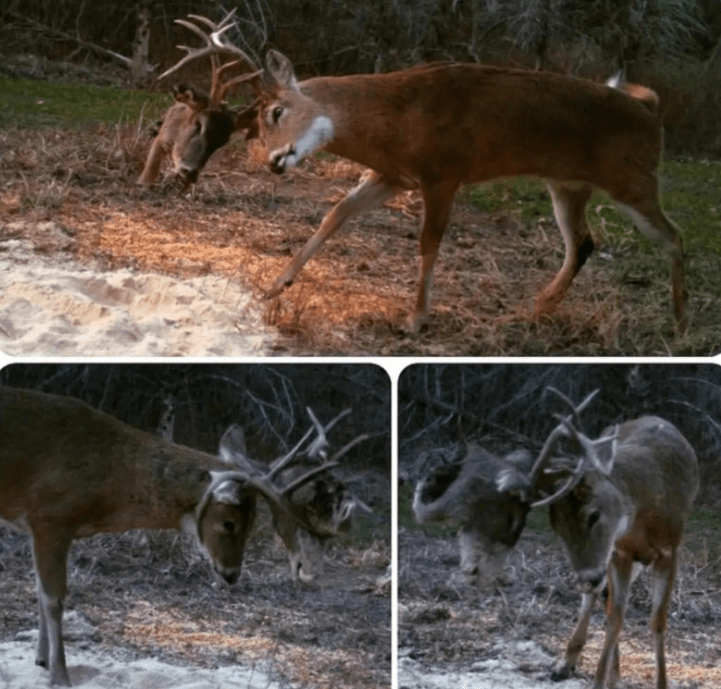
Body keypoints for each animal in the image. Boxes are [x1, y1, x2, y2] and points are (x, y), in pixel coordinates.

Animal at [0, 384, 346, 684]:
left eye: (253, 525)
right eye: (229, 523)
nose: (232, 574)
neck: (105, 478)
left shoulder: (41, 527)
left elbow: (39, 590)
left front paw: (42, 660)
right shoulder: (50, 517)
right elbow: (53, 599)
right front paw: (60, 675)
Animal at [158, 10, 688, 334]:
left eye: (276, 112)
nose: (274, 161)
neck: (395, 117)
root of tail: (652, 112)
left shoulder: (442, 174)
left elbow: (427, 244)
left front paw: (414, 320)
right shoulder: (392, 175)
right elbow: (334, 215)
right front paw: (275, 284)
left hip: (633, 179)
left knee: (674, 235)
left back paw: (680, 323)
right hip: (568, 184)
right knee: (584, 243)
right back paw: (536, 308)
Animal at [414, 388, 700, 688]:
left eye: (593, 515)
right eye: (558, 527)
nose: (586, 577)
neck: (645, 511)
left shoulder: (669, 549)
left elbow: (657, 620)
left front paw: (657, 682)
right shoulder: (619, 552)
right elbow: (615, 617)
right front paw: (601, 680)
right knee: (602, 600)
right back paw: (570, 664)